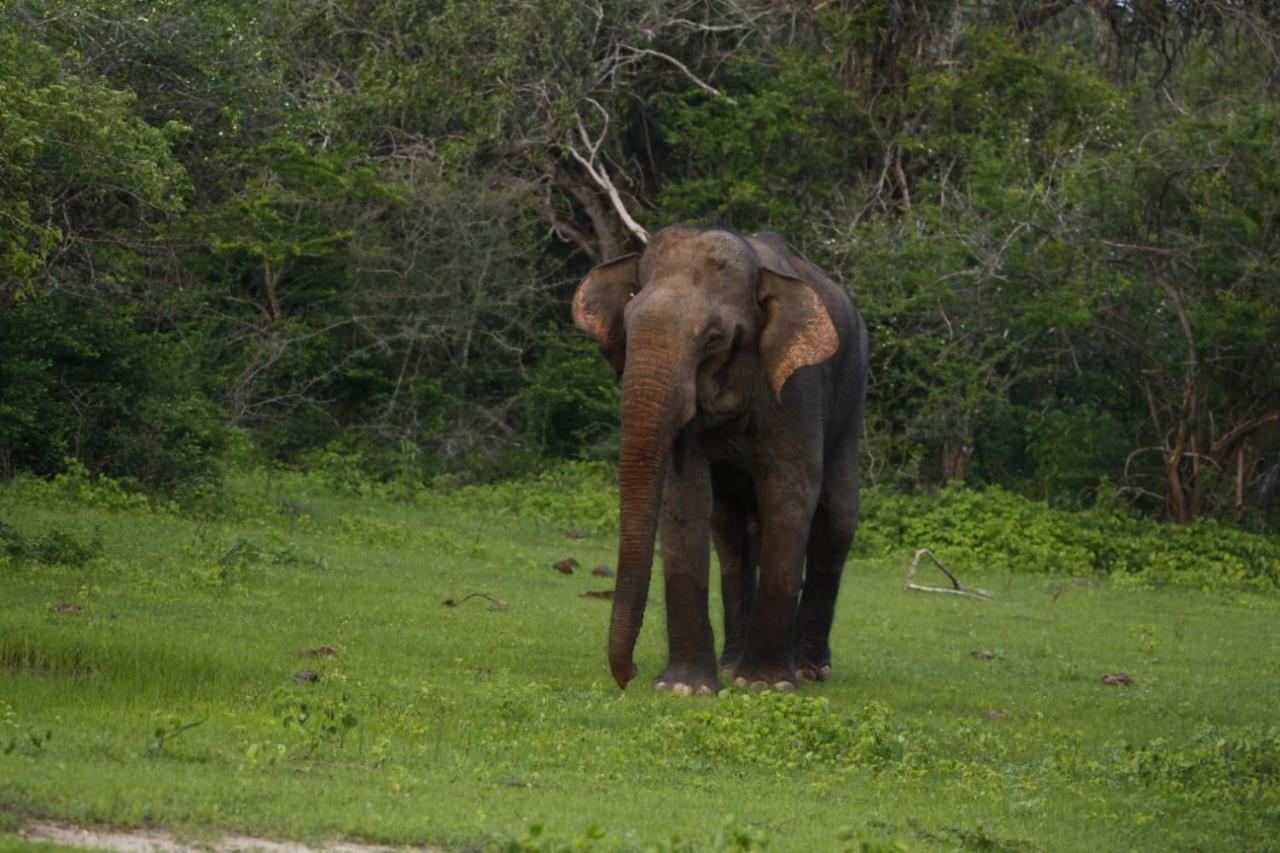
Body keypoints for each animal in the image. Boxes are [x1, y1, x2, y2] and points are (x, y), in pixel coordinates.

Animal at [573, 224, 865, 691]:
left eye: (713, 339)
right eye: (628, 327)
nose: (629, 674)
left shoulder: (799, 388)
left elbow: (790, 491)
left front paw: (767, 684)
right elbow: (685, 495)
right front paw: (685, 688)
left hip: (853, 393)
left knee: (837, 519)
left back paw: (808, 669)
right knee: (730, 536)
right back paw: (731, 665)